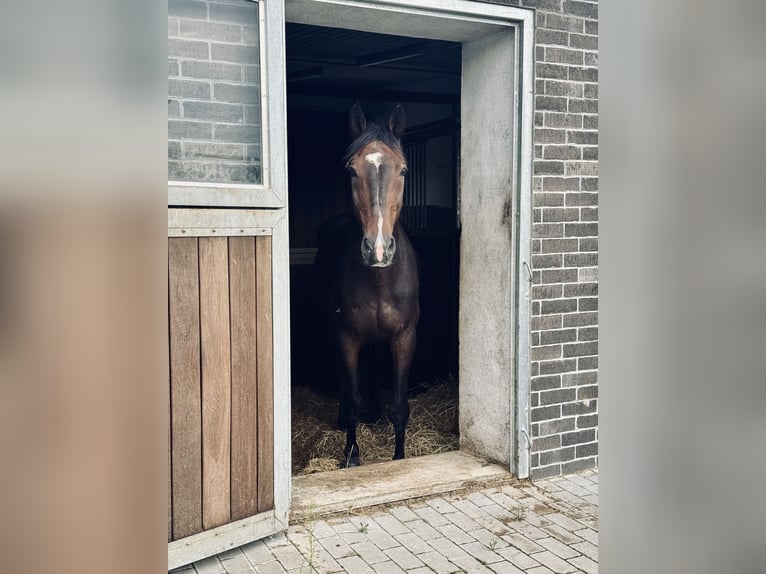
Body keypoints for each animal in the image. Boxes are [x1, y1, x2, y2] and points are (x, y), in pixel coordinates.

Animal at [315, 102, 420, 468]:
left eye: (403, 170)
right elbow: (353, 398)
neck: (379, 279)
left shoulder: (404, 337)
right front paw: (351, 456)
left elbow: (399, 406)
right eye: (352, 171)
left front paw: (399, 457)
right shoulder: (346, 336)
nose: (377, 248)